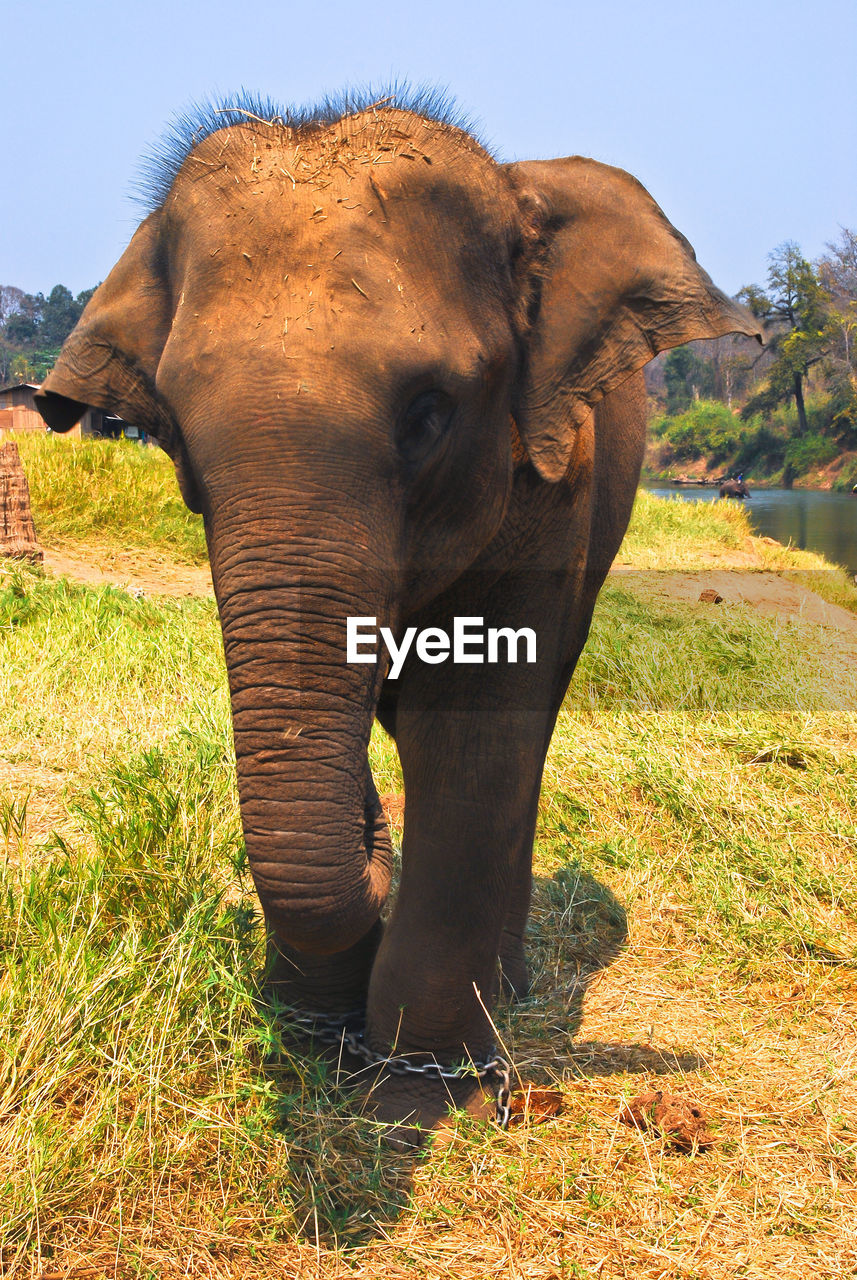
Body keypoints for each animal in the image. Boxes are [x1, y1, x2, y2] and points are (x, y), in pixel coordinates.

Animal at [33, 94, 762, 1146]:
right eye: (171, 431)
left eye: (429, 410)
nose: (374, 828)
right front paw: (313, 1034)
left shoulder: (550, 485)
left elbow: (466, 734)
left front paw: (418, 1089)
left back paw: (505, 986)